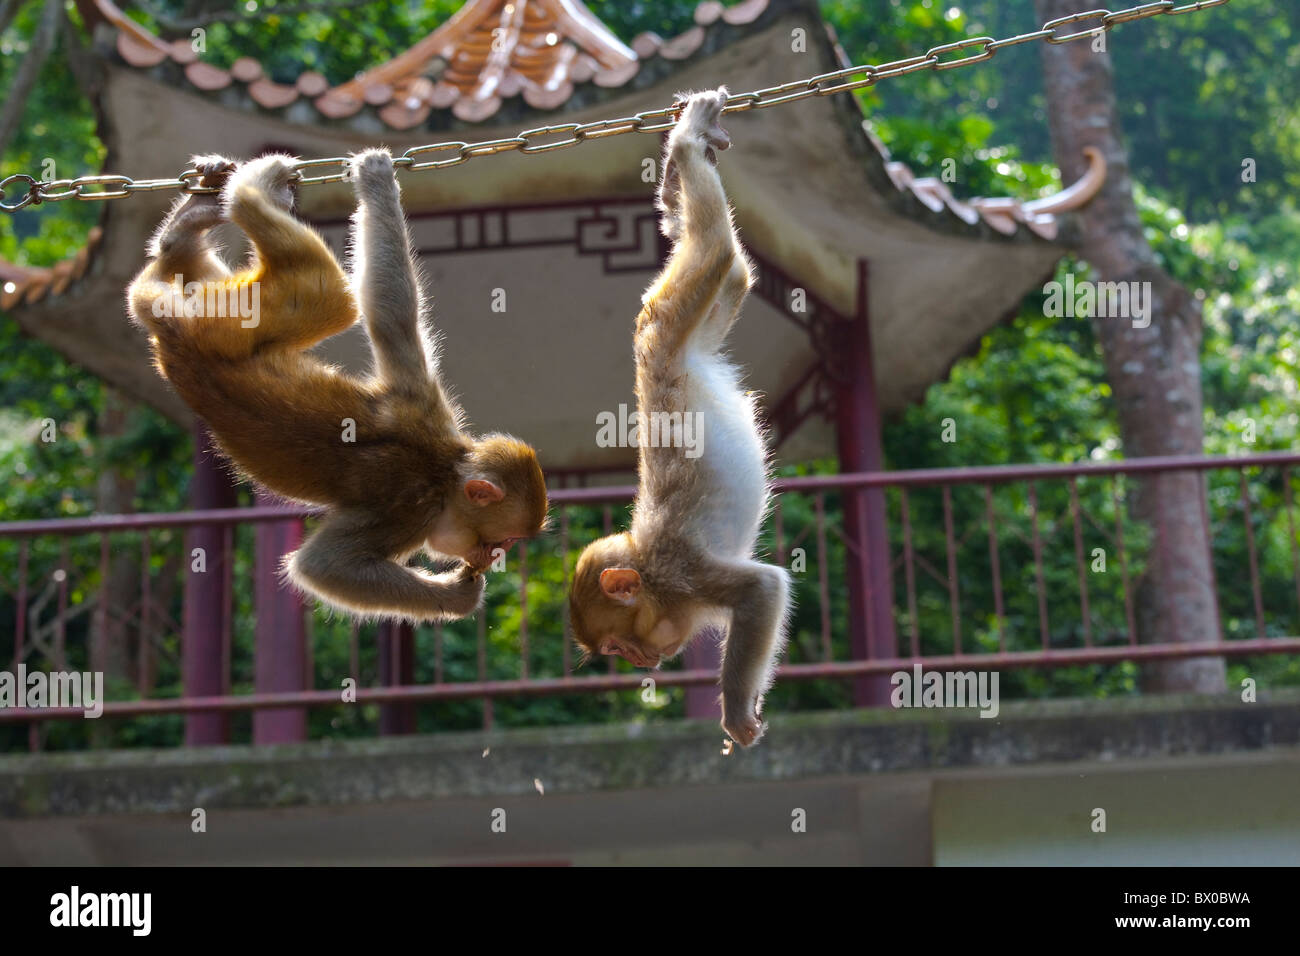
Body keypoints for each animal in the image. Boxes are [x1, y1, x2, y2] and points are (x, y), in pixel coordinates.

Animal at [126, 149, 548, 622]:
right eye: (505, 539)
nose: (494, 557)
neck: (445, 469)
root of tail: (175, 335)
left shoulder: (424, 402)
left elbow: (392, 318)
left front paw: (377, 182)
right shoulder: (409, 512)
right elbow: (323, 566)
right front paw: (458, 596)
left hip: (220, 312)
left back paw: (184, 229)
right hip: (231, 325)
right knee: (331, 299)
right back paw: (253, 192)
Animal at [568, 89, 791, 747]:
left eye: (616, 645)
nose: (642, 662)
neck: (647, 575)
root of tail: (662, 359)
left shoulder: (682, 575)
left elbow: (763, 590)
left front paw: (737, 709)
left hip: (665, 323)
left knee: (712, 251)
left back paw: (688, 144)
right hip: (691, 328)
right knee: (731, 269)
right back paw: (679, 167)